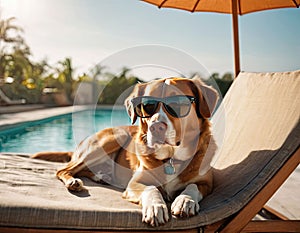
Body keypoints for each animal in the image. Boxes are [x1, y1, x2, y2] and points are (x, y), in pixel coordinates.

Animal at [32, 77, 218, 227]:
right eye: (148, 106)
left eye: (178, 104)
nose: (156, 127)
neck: (171, 157)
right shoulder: (135, 183)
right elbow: (152, 188)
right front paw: (155, 206)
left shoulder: (207, 183)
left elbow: (193, 186)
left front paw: (185, 200)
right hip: (113, 139)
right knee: (63, 170)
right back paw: (73, 181)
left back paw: (101, 176)